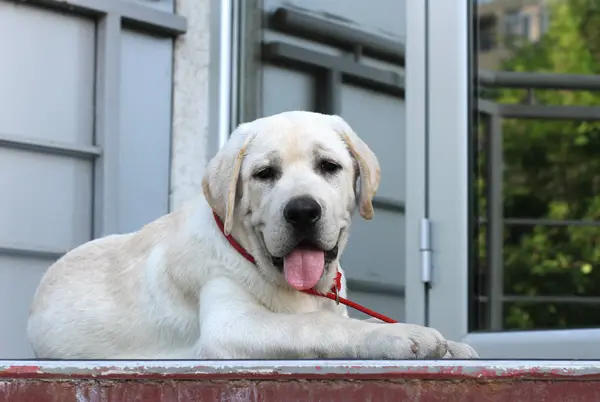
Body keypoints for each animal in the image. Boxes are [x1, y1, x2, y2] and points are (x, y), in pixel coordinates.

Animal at [27, 111, 478, 360]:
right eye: (265, 174)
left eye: (328, 166)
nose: (302, 211)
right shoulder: (230, 325)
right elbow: (314, 326)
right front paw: (398, 333)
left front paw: (452, 345)